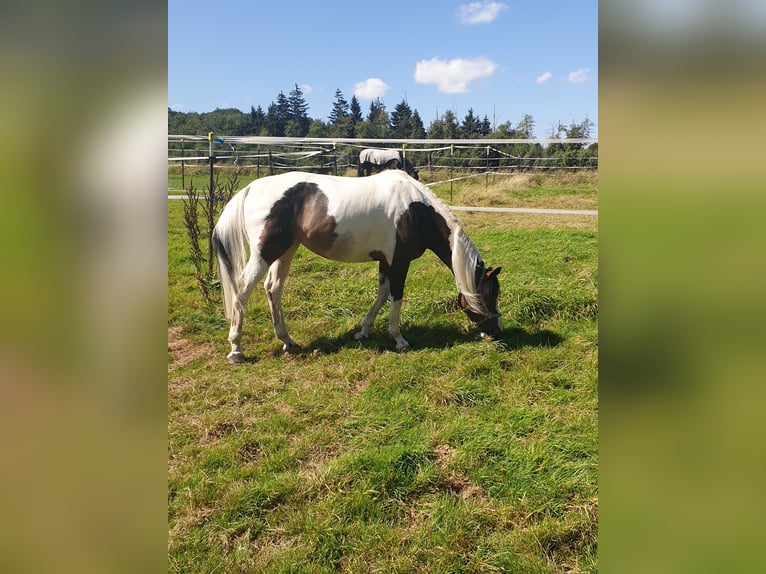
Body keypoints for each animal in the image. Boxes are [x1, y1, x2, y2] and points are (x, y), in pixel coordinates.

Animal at [214, 169, 504, 364]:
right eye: (490, 295)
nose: (497, 333)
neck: (417, 210)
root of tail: (251, 188)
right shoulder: (399, 262)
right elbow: (396, 298)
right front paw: (399, 340)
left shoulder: (386, 262)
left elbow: (382, 295)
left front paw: (363, 331)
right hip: (265, 252)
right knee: (242, 290)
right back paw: (236, 349)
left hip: (286, 250)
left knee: (273, 288)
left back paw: (287, 341)